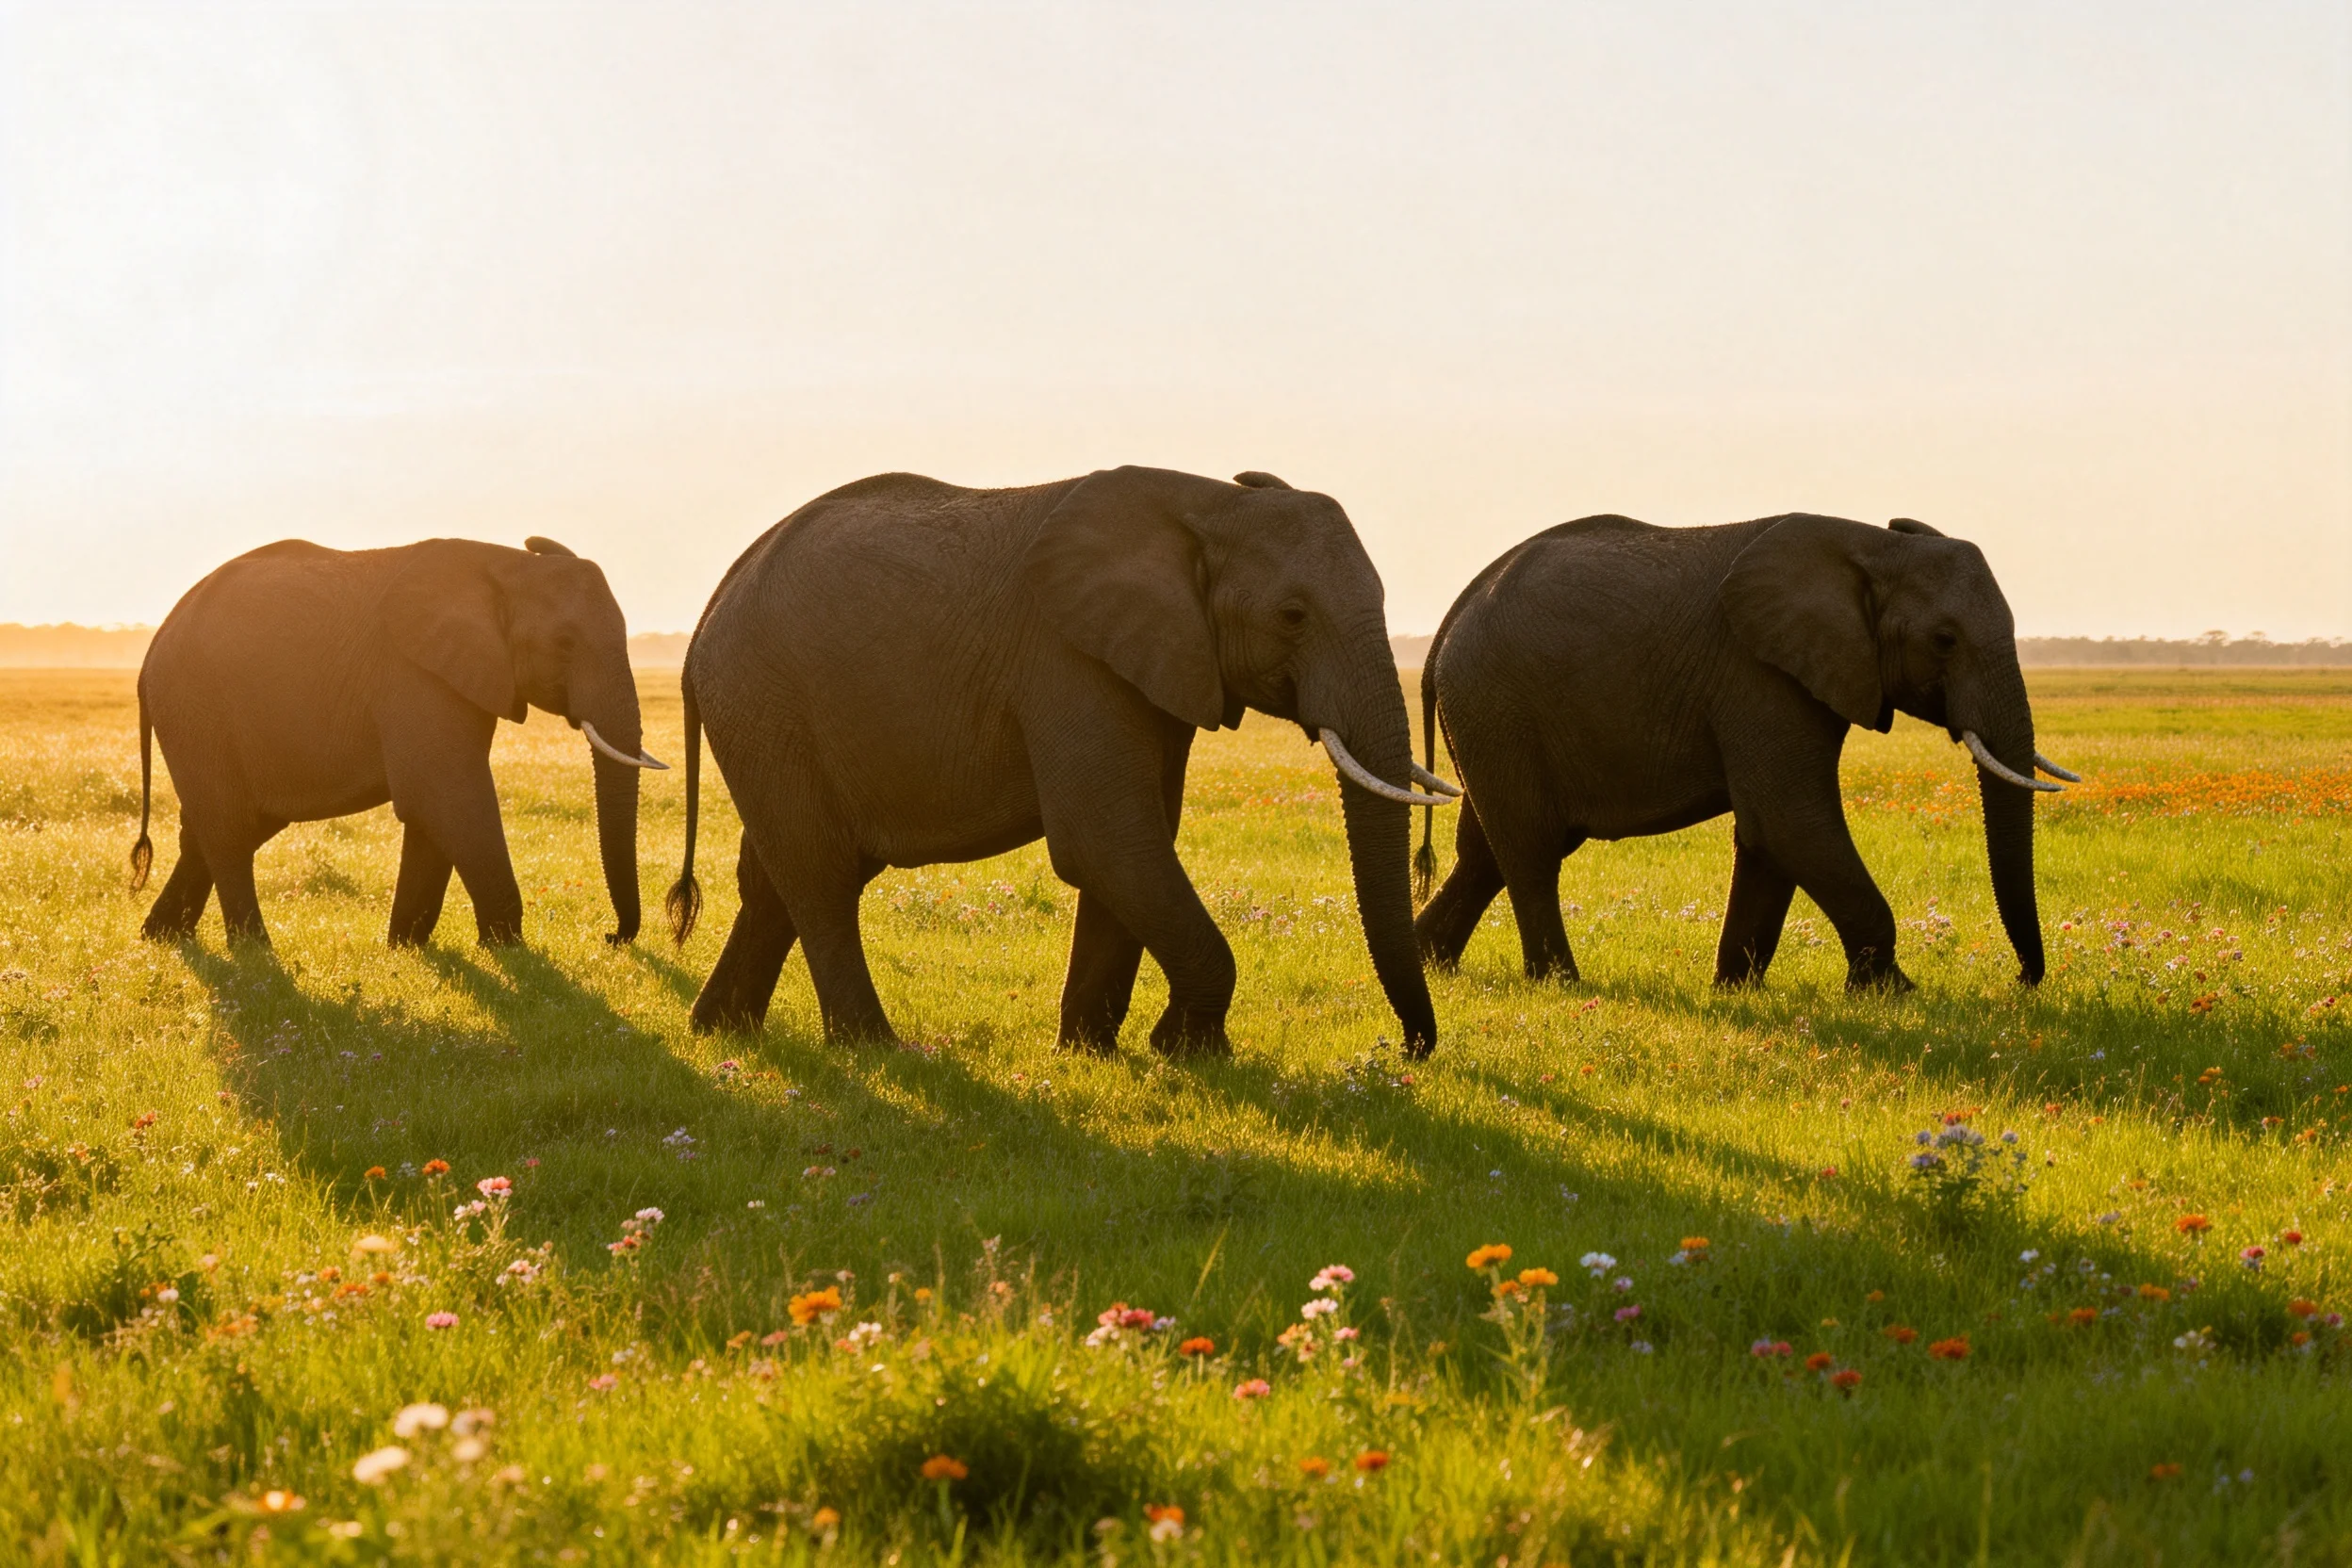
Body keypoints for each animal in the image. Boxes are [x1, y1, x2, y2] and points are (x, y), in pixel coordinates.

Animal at [130, 536, 666, 949]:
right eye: (565, 645)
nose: (611, 937)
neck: (506, 565)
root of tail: (156, 640)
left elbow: (436, 809)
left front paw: (405, 948)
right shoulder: (414, 674)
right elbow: (446, 797)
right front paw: (507, 949)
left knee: (227, 824)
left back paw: (162, 938)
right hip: (194, 705)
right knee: (229, 828)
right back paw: (254, 951)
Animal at [663, 466, 1458, 1056]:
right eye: (1292, 616)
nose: (1409, 1048)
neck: (1207, 503)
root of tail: (708, 610)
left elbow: (1134, 845)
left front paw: (1091, 1053)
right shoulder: (1069, 662)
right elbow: (1106, 841)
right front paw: (1189, 1052)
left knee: (778, 877)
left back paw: (720, 1032)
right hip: (762, 699)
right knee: (821, 873)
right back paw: (873, 1049)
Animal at [1413, 513, 2076, 991]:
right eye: (1944, 640)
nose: (2021, 980)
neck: (1870, 545)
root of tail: (1449, 620)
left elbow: (1769, 834)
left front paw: (1735, 990)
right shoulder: (1758, 675)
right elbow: (1791, 820)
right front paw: (1893, 994)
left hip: (1490, 720)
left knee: (1486, 852)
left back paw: (1432, 964)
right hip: (1495, 705)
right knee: (1531, 850)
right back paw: (1560, 985)